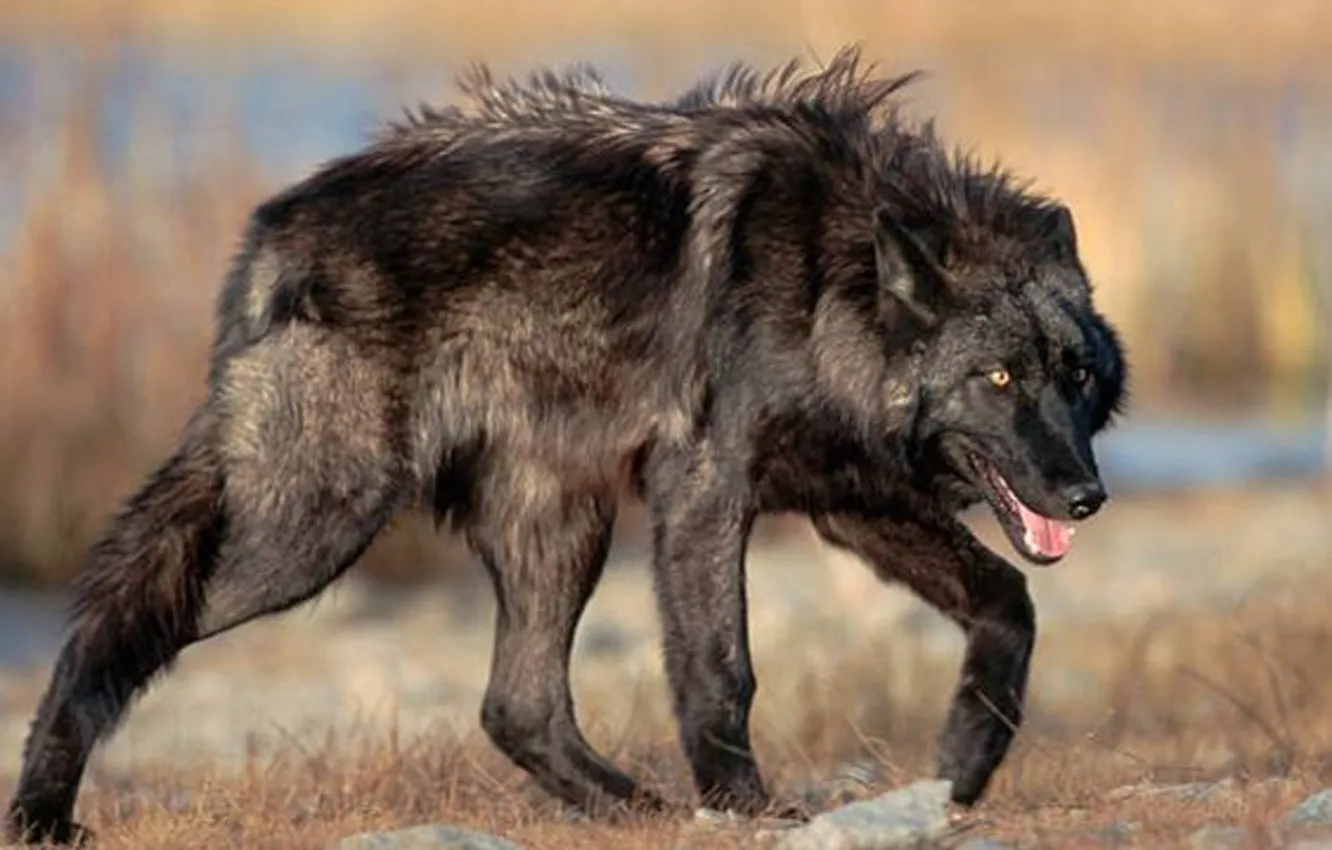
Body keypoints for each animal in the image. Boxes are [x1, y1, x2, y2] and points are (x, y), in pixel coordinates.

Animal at [4, 46, 1126, 844]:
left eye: (1076, 376)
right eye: (999, 380)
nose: (1085, 497)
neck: (825, 276)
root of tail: (270, 231)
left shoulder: (852, 500)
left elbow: (1008, 602)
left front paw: (965, 760)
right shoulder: (706, 491)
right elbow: (723, 668)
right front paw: (747, 807)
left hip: (558, 527)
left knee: (518, 705)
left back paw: (633, 809)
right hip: (314, 530)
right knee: (115, 623)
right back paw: (41, 811)